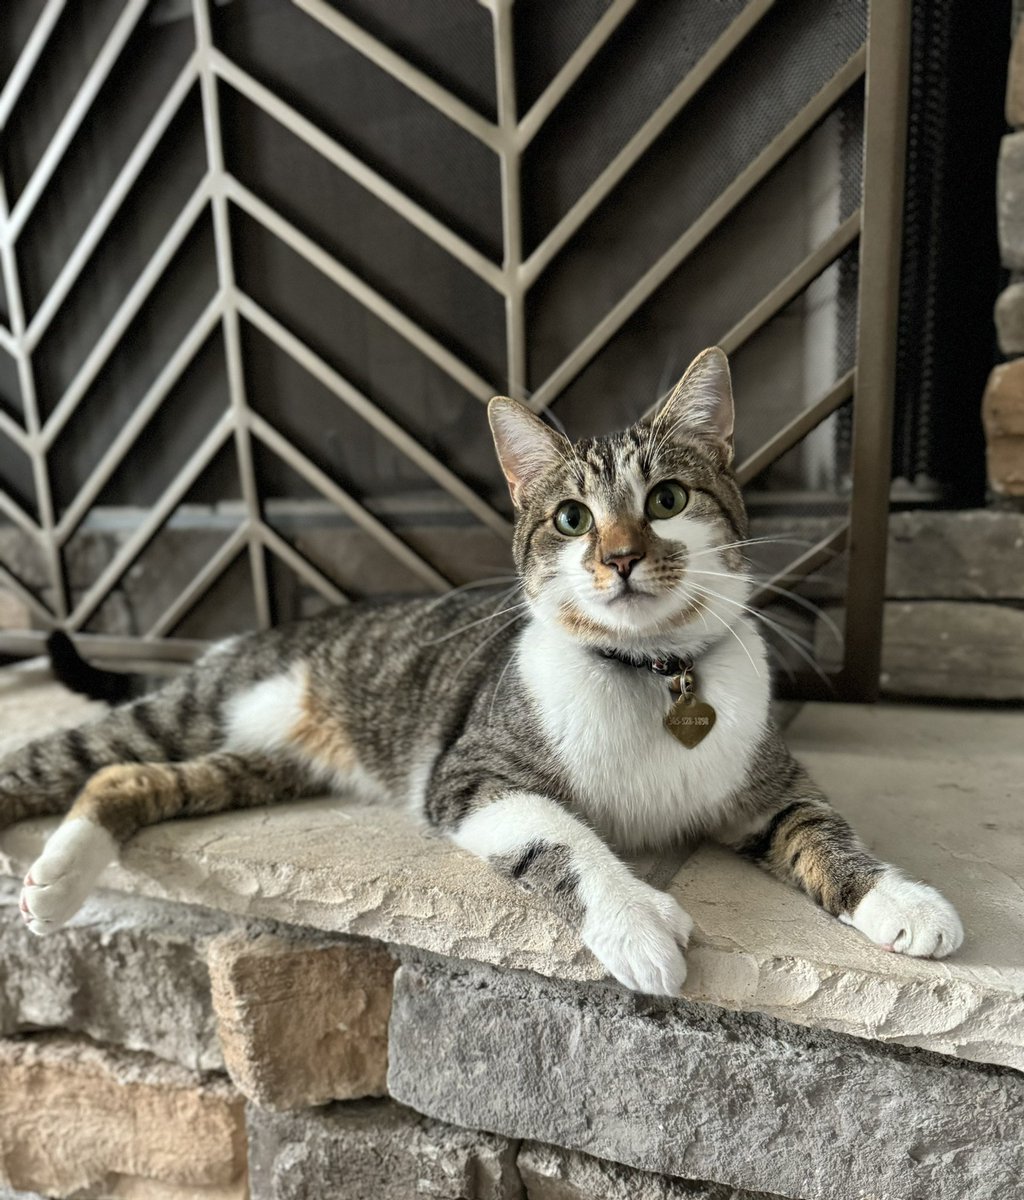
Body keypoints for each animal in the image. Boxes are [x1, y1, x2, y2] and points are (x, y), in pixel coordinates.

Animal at [1, 348, 960, 993]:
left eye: (667, 500)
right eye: (572, 517)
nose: (619, 556)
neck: (648, 672)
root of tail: (246, 640)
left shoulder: (762, 780)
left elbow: (817, 826)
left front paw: (901, 900)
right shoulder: (471, 775)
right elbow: (562, 837)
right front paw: (634, 920)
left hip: (260, 759)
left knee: (130, 778)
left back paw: (58, 882)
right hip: (200, 708)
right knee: (72, 759)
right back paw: (48, 876)